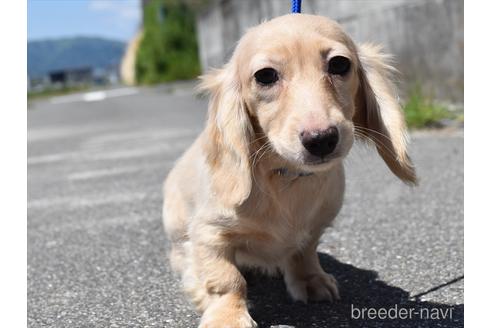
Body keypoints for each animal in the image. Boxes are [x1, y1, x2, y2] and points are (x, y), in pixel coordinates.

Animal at [163, 13, 418, 328]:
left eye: (339, 64)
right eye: (265, 75)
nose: (321, 139)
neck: (287, 178)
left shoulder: (313, 229)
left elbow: (303, 254)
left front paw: (310, 280)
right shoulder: (209, 233)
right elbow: (226, 279)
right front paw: (228, 316)